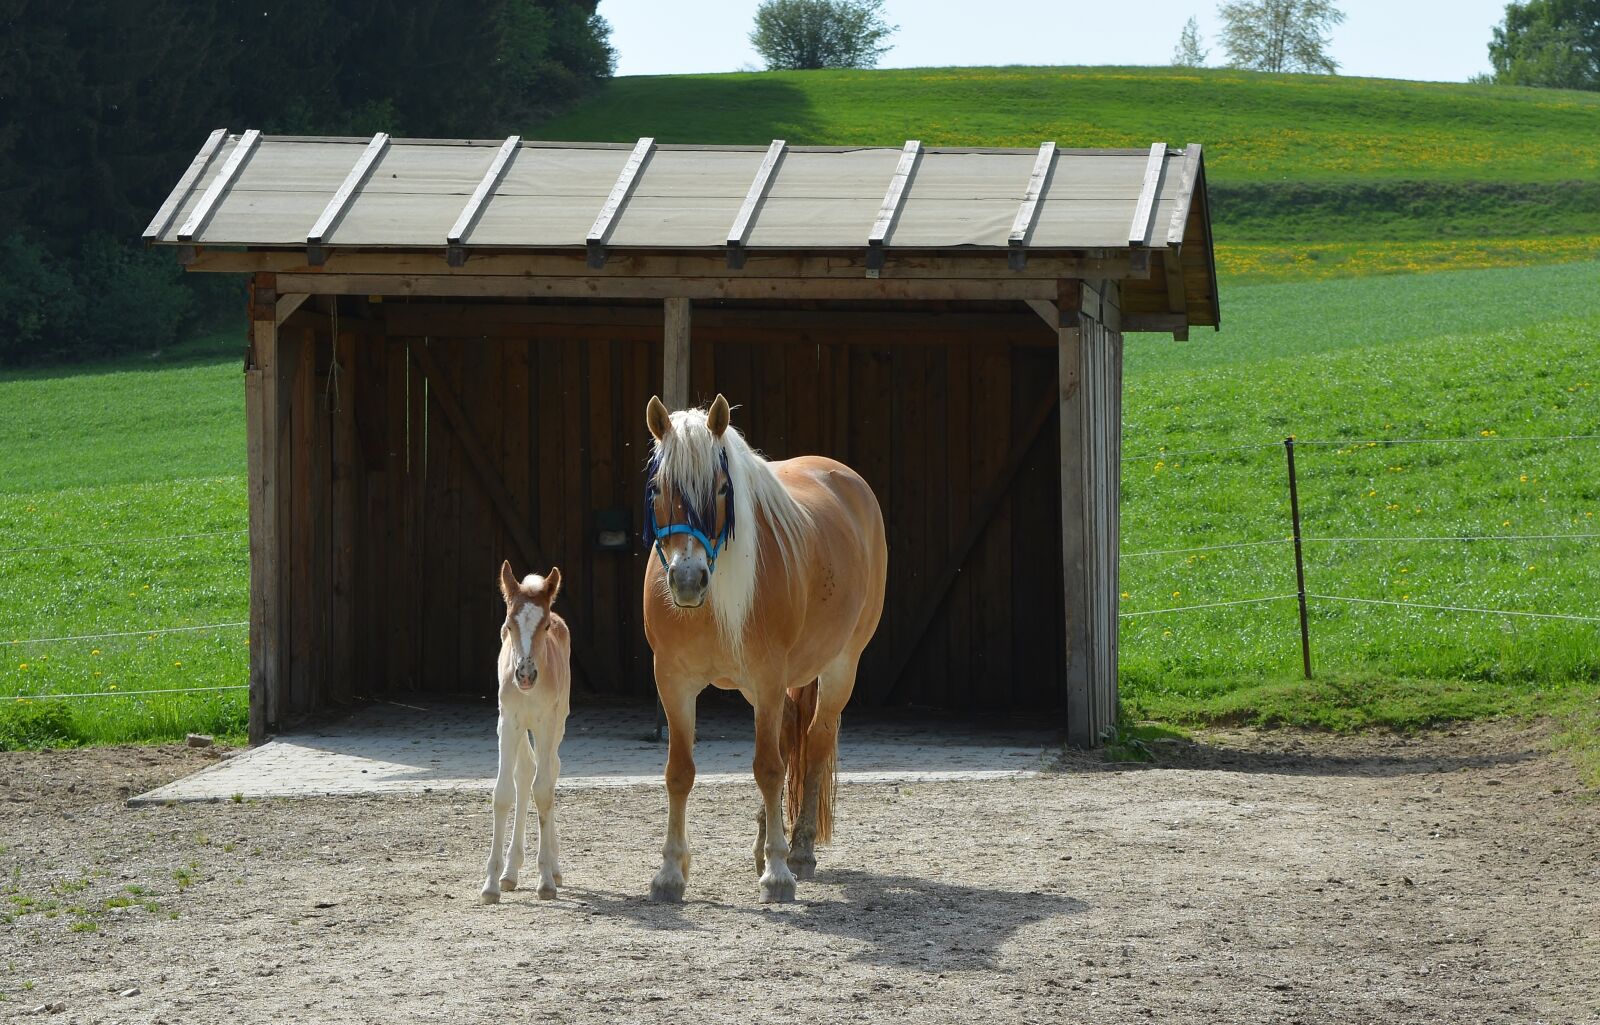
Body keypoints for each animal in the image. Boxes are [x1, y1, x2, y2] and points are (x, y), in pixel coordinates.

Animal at [480, 561, 571, 904]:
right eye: (508, 624)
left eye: (544, 627)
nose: (525, 675)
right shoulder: (508, 723)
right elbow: (504, 793)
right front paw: (491, 883)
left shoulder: (546, 723)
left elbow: (543, 791)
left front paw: (545, 880)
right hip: (517, 728)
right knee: (524, 773)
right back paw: (510, 872)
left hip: (558, 722)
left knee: (550, 771)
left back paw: (554, 868)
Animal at [641, 393, 887, 903]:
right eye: (657, 488)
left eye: (720, 489)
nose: (688, 580)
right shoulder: (673, 682)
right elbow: (680, 772)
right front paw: (671, 872)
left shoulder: (769, 676)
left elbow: (770, 770)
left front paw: (777, 873)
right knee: (791, 736)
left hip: (839, 667)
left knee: (815, 742)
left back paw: (800, 850)